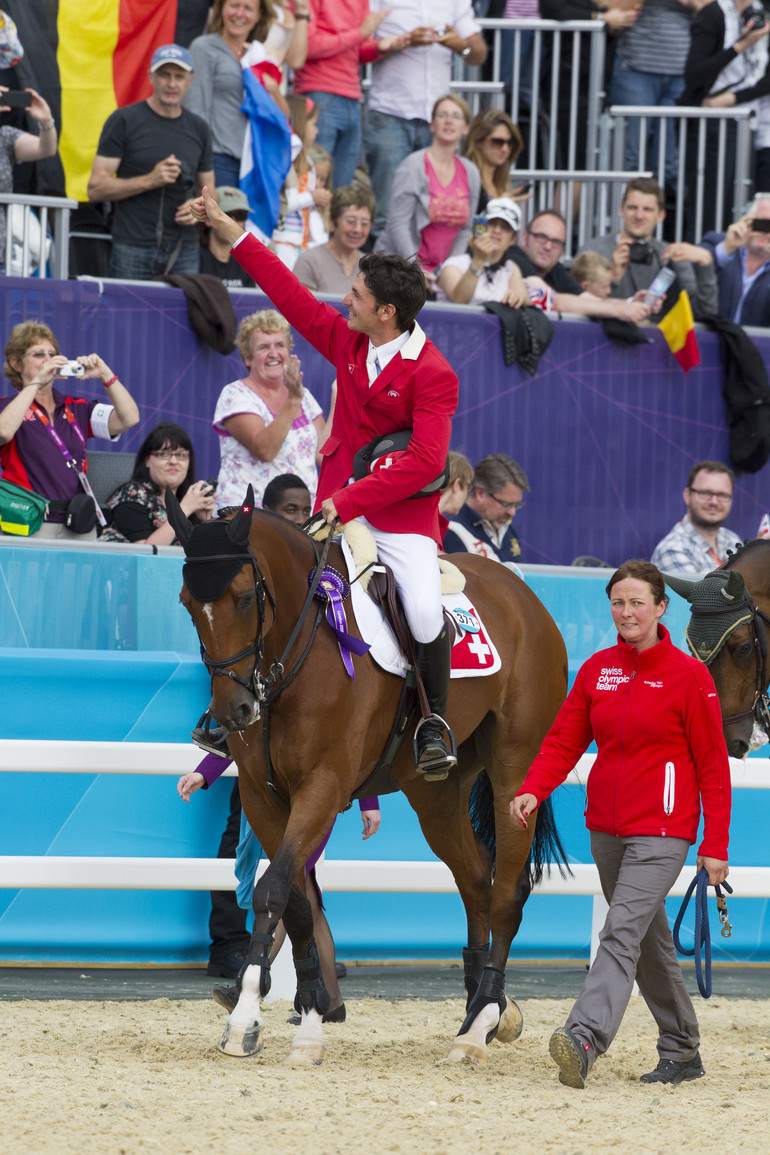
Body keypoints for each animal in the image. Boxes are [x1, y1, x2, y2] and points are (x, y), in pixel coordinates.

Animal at [167, 487, 565, 1062]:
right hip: (437, 794)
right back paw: (480, 1013)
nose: (234, 712)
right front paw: (309, 1017)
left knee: (507, 887)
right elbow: (296, 901)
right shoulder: (264, 797)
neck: (294, 654)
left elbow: (271, 891)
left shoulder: (323, 786)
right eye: (186, 603)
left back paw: (480, 1024)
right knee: (475, 879)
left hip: (515, 767)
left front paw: (245, 1019)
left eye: (243, 597)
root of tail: (523, 592)